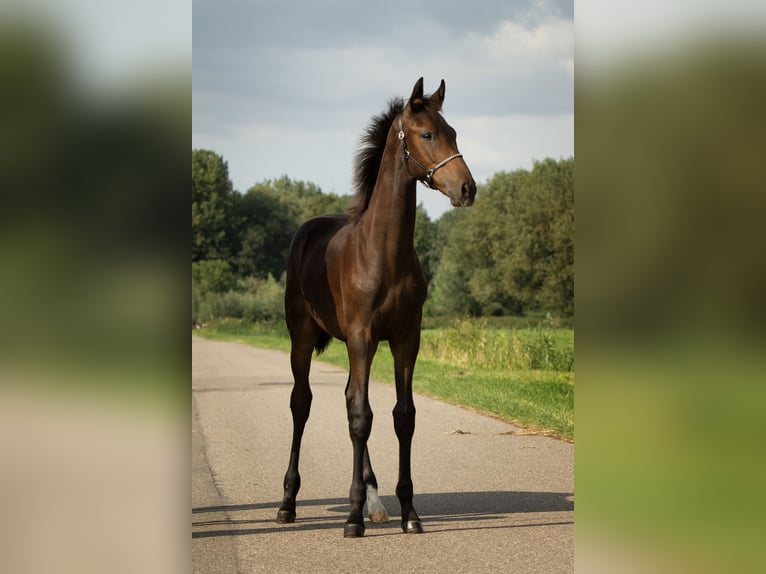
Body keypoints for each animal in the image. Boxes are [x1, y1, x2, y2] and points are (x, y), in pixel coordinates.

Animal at [276, 79, 476, 536]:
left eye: (453, 132)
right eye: (427, 134)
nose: (467, 189)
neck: (384, 252)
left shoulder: (405, 338)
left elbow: (401, 416)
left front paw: (409, 513)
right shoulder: (362, 336)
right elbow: (360, 417)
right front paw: (351, 518)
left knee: (350, 397)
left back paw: (375, 500)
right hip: (303, 335)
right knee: (303, 403)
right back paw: (288, 503)